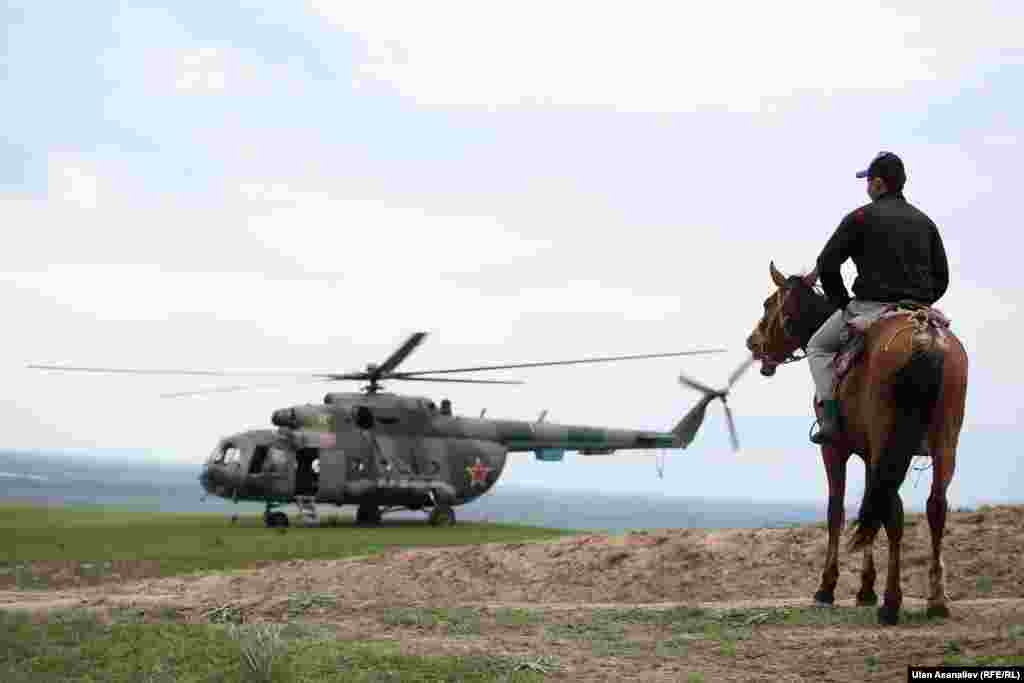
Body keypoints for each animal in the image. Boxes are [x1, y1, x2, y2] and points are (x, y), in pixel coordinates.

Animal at [745, 260, 966, 626]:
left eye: (767, 304)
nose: (752, 343)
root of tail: (924, 333)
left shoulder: (834, 449)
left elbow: (836, 510)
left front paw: (827, 587)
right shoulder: (868, 454)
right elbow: (869, 506)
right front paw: (865, 588)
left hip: (888, 442)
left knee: (894, 511)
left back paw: (891, 604)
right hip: (942, 441)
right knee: (935, 506)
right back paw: (936, 600)